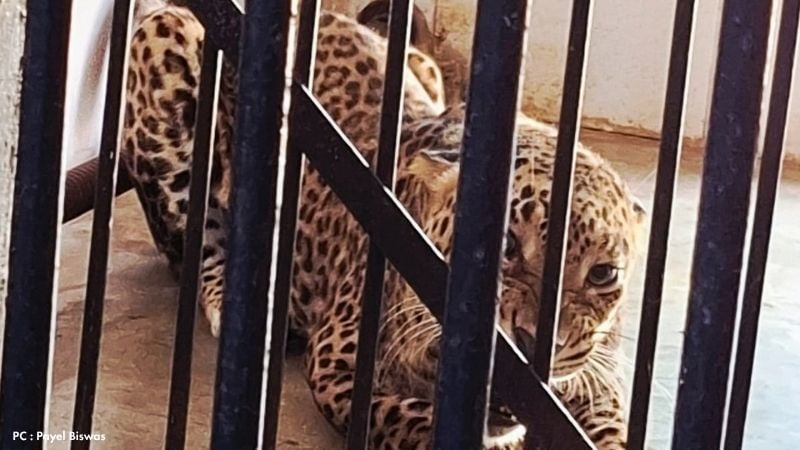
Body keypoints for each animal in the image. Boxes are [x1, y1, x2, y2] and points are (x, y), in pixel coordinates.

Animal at [122, 6, 646, 449]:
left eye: (603, 274)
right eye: (507, 247)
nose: (535, 346)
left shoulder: (598, 385)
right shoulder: (339, 363)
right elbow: (412, 420)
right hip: (164, 37)